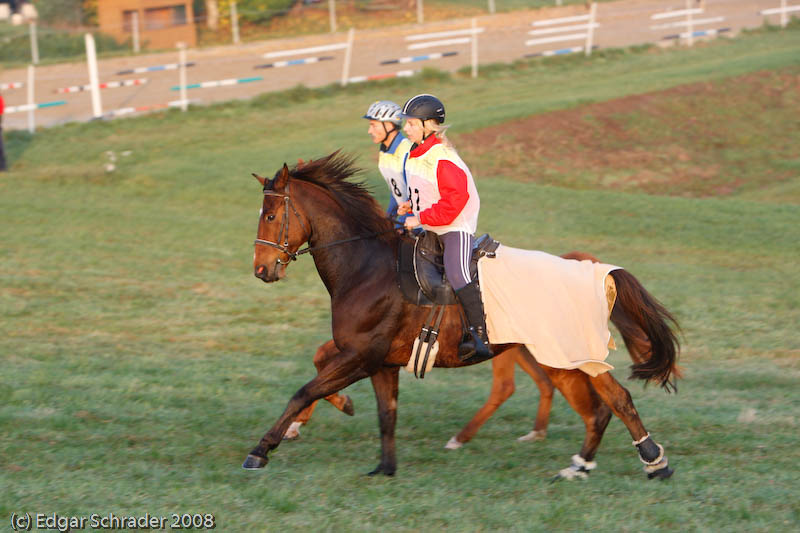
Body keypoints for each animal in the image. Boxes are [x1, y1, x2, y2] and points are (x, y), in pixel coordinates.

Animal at [247, 153, 680, 478]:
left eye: (270, 216)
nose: (261, 270)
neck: (366, 265)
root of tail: (593, 268)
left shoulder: (360, 356)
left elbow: (304, 390)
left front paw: (262, 448)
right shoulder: (380, 363)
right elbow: (386, 413)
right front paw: (384, 467)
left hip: (567, 356)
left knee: (612, 401)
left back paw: (652, 461)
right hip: (554, 359)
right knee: (596, 409)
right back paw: (581, 464)